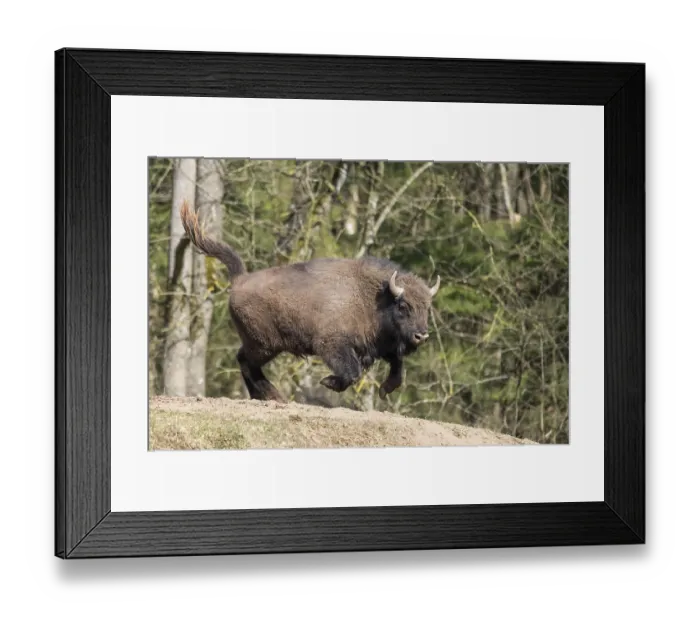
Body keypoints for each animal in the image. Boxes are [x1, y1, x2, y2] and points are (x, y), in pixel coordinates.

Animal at [180, 201, 440, 402]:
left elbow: (397, 369)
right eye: (403, 306)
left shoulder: (381, 346)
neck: (373, 296)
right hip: (264, 345)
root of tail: (240, 279)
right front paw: (327, 382)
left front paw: (385, 390)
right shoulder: (332, 345)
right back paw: (273, 396)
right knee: (245, 361)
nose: (421, 336)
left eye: (427, 308)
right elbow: (353, 372)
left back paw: (266, 396)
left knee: (245, 362)